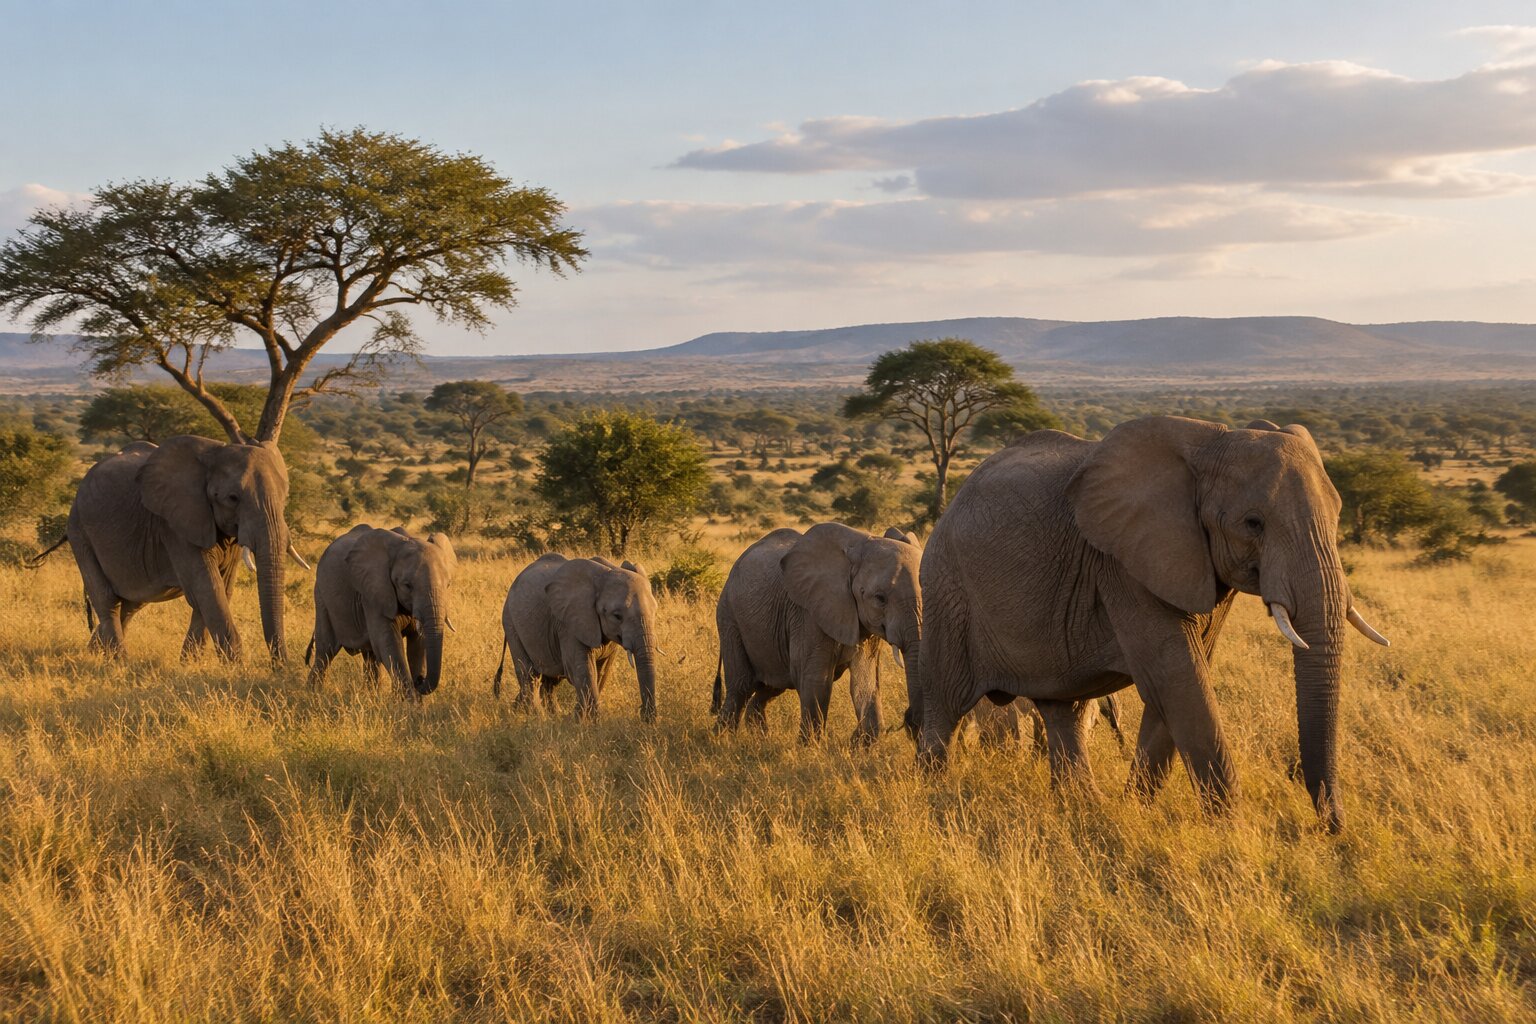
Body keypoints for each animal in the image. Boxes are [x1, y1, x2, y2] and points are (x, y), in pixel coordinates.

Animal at [62, 435, 293, 662]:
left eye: (285, 497)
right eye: (232, 498)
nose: (279, 666)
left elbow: (221, 589)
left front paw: (190, 664)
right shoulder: (175, 528)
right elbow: (208, 589)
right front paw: (234, 666)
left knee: (131, 604)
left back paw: (94, 653)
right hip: (79, 530)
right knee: (107, 599)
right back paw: (119, 661)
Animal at [305, 525, 457, 696]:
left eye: (448, 584)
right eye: (407, 586)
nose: (419, 680)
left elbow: (417, 645)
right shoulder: (373, 595)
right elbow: (389, 644)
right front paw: (408, 702)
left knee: (370, 655)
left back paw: (371, 697)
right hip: (321, 597)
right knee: (325, 652)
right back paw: (312, 695)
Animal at [493, 553, 660, 722]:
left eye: (654, 612)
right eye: (617, 616)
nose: (644, 716)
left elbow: (602, 671)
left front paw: (578, 717)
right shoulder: (569, 624)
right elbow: (583, 670)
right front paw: (591, 722)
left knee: (549, 680)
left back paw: (540, 713)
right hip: (510, 621)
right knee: (529, 674)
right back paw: (536, 717)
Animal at [712, 523, 923, 747]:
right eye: (880, 598)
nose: (910, 723)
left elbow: (865, 682)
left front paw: (858, 746)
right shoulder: (807, 613)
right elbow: (814, 679)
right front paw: (809, 748)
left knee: (770, 686)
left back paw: (760, 739)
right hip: (729, 617)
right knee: (741, 686)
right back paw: (721, 741)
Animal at [915, 416, 1389, 832]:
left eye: (1338, 516)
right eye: (1253, 523)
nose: (1330, 828)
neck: (1211, 443)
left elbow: (1183, 681)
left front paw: (1134, 810)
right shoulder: (1123, 565)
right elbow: (1177, 680)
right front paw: (1232, 833)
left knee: (1064, 708)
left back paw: (1082, 806)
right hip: (946, 588)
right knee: (946, 702)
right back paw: (933, 792)